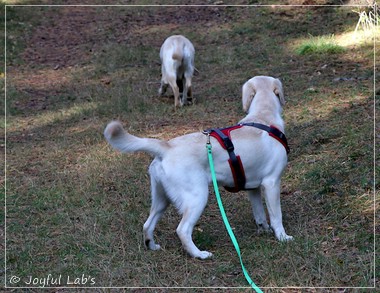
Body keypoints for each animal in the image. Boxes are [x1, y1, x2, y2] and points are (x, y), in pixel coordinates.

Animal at [102, 74, 292, 258]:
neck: (263, 116)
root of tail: (166, 147)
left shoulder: (252, 188)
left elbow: (259, 214)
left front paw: (264, 230)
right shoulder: (272, 183)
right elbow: (277, 216)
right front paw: (282, 237)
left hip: (161, 199)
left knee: (147, 224)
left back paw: (152, 245)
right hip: (197, 197)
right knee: (182, 230)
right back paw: (199, 254)